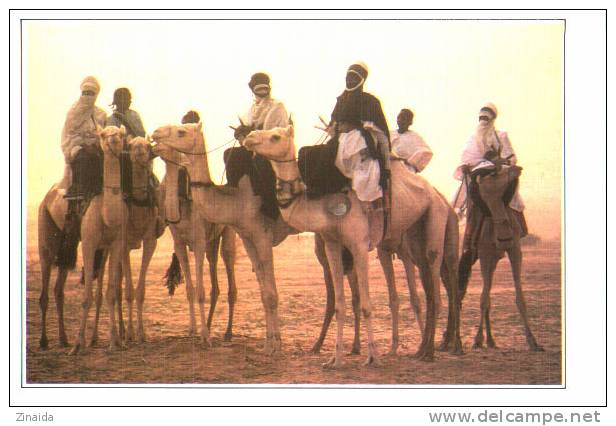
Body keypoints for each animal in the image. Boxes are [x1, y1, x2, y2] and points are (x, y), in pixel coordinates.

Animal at [68, 125, 131, 354]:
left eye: (120, 134)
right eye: (103, 135)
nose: (113, 140)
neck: (106, 214)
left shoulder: (116, 244)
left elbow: (111, 292)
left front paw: (114, 341)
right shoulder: (88, 243)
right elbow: (86, 297)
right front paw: (77, 344)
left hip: (104, 250)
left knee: (104, 287)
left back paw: (100, 337)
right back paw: (86, 340)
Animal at [156, 151, 238, 342]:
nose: (182, 173)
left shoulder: (199, 242)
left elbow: (200, 290)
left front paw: (204, 336)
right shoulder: (179, 244)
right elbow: (189, 289)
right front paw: (193, 329)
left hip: (227, 233)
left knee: (228, 262)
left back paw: (228, 332)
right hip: (211, 243)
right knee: (214, 274)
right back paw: (207, 324)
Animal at [243, 125, 460, 366]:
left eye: (275, 136)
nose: (249, 138)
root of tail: (439, 196)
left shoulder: (359, 245)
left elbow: (366, 305)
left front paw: (372, 357)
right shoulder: (332, 245)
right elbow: (339, 304)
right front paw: (335, 359)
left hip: (436, 218)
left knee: (436, 284)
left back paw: (432, 351)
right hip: (413, 235)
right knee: (426, 287)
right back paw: (420, 349)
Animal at [460, 165, 540, 352]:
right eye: (494, 172)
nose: (518, 167)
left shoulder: (515, 249)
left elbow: (520, 297)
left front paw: (533, 341)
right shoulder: (484, 253)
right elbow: (483, 299)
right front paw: (477, 340)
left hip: (496, 258)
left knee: (488, 291)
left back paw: (491, 340)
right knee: (482, 292)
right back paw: (485, 339)